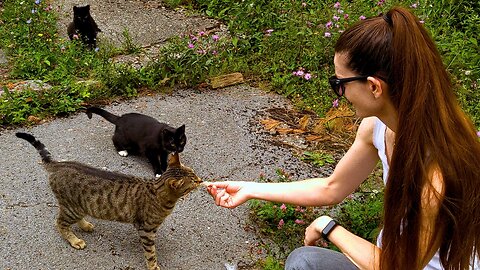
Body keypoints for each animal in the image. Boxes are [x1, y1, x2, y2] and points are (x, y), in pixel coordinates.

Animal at [15, 132, 202, 268]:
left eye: (194, 173)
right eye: (193, 181)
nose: (200, 180)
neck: (159, 194)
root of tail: (59, 164)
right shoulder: (146, 230)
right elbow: (150, 253)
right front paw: (153, 266)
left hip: (79, 206)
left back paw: (85, 225)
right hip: (71, 209)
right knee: (60, 223)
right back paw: (75, 240)